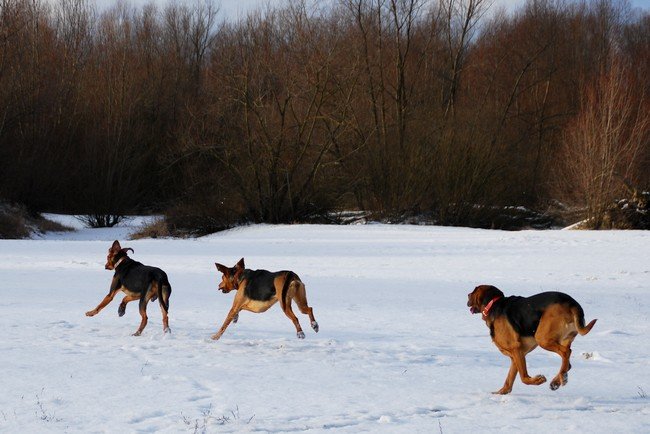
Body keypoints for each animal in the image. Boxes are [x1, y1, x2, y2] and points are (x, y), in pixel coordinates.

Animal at [464, 284, 596, 394]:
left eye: (473, 291)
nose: (467, 295)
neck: (493, 305)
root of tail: (572, 303)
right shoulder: (516, 356)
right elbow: (509, 379)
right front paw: (501, 393)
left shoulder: (516, 349)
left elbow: (524, 377)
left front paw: (538, 380)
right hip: (564, 338)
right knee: (567, 363)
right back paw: (556, 382)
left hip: (542, 338)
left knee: (566, 352)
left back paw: (560, 378)